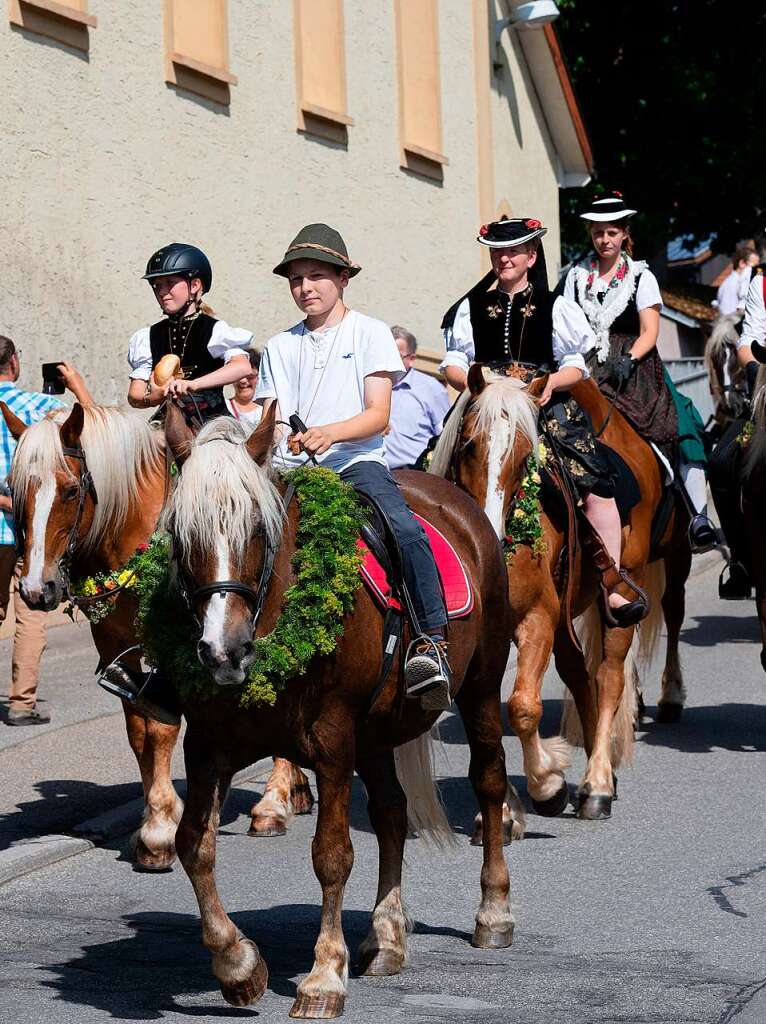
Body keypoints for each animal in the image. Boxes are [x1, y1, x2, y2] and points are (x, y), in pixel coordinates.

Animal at [159, 405, 514, 1015]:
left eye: (258, 529)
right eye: (183, 535)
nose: (224, 649)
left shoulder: (331, 741)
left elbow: (331, 854)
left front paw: (323, 976)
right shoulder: (207, 744)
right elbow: (193, 846)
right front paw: (238, 966)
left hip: (481, 689)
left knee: (488, 782)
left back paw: (493, 912)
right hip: (376, 733)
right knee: (392, 811)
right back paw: (386, 935)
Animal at [430, 364, 684, 819]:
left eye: (525, 455)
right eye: (470, 444)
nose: (491, 534)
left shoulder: (537, 618)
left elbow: (523, 706)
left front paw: (547, 785)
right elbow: (486, 720)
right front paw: (501, 811)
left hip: (620, 596)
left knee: (608, 679)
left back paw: (598, 784)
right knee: (579, 674)